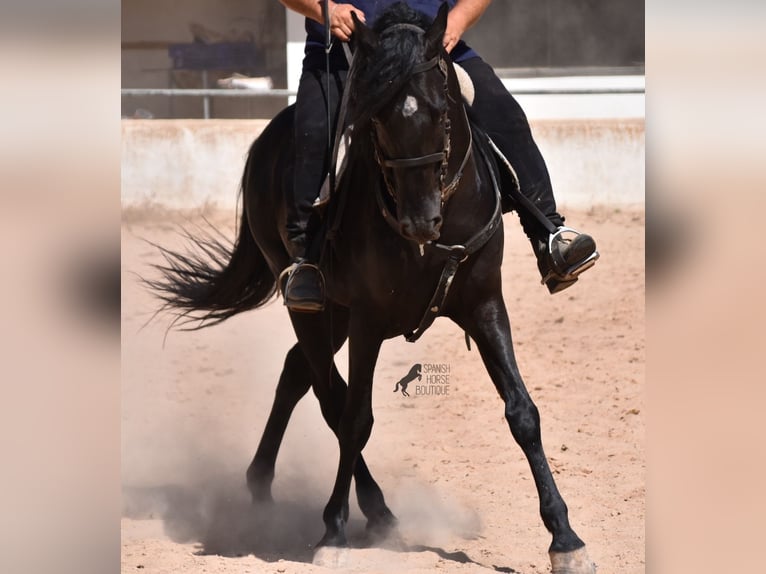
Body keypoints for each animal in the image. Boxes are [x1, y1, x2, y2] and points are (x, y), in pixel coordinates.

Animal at [148, 4, 592, 574]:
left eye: (442, 114)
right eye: (376, 121)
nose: (421, 221)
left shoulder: (485, 305)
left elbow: (523, 413)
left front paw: (565, 538)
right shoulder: (367, 320)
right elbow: (356, 418)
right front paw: (334, 531)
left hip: (333, 317)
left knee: (296, 373)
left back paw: (265, 484)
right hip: (315, 309)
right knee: (328, 395)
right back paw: (370, 508)